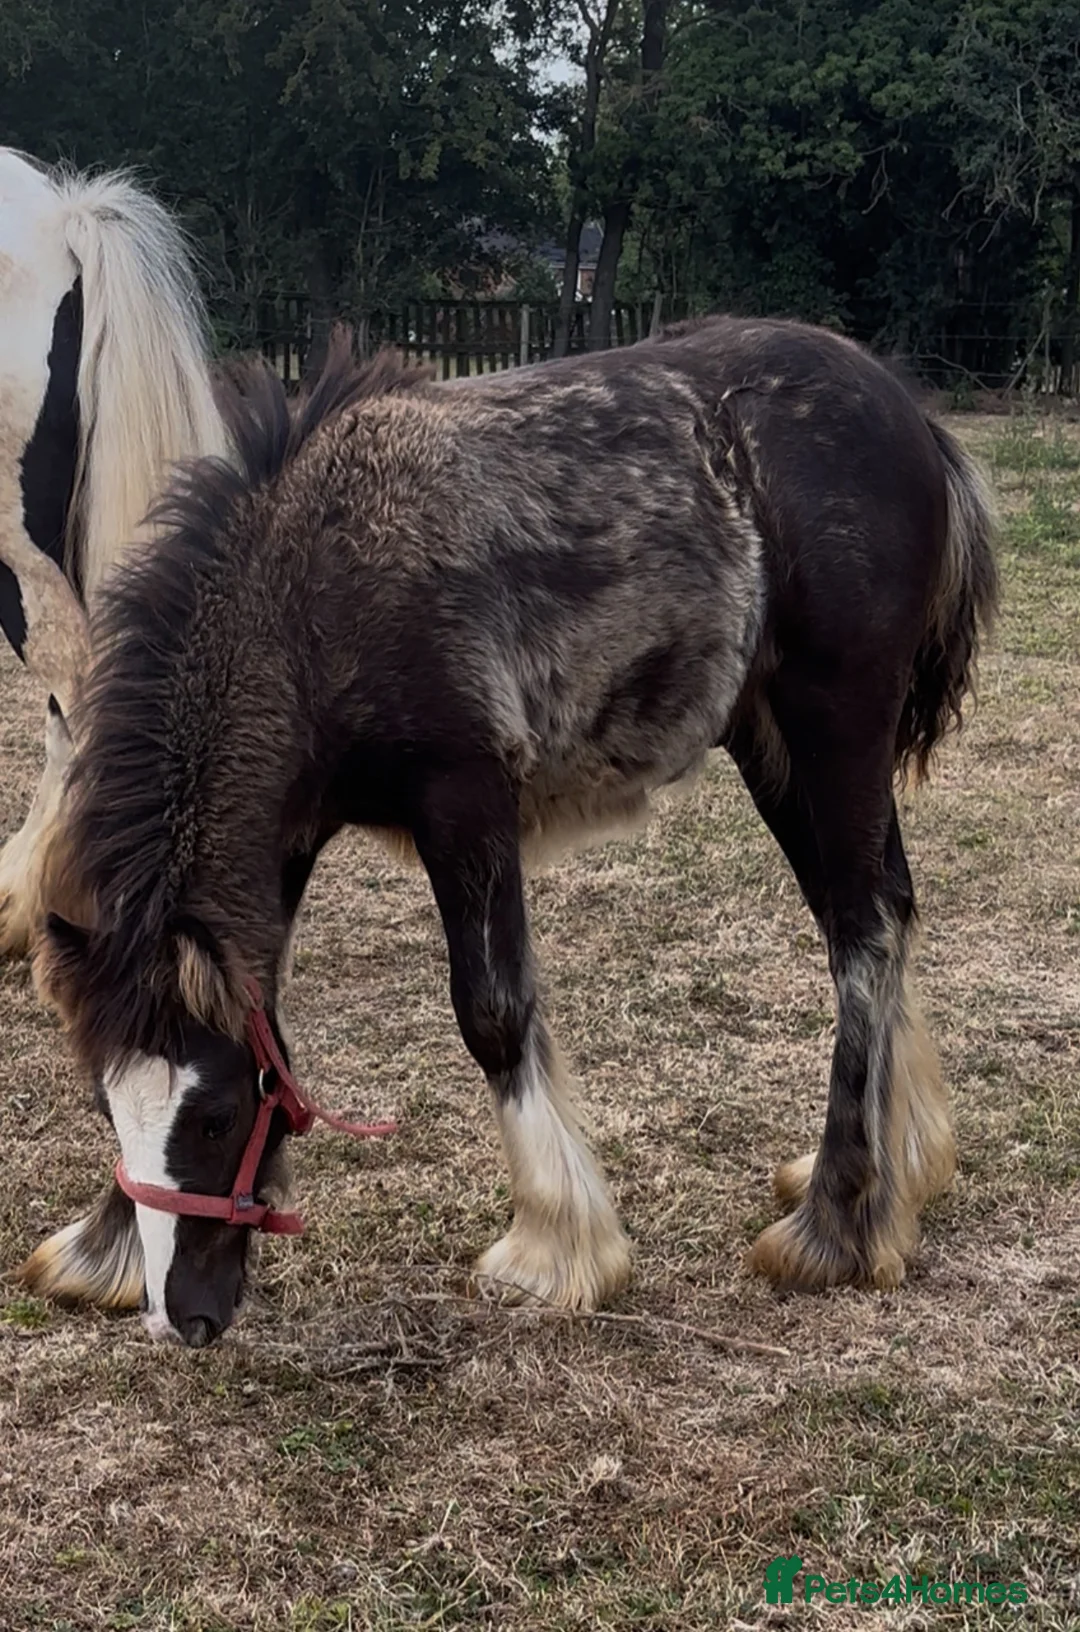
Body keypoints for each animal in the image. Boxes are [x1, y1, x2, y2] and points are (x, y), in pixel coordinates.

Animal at [25, 319, 998, 1347]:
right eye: (106, 1110)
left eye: (214, 1117)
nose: (184, 1320)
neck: (317, 592)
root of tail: (907, 415)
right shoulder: (285, 844)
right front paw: (106, 1245)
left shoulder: (464, 800)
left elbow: (492, 1013)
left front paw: (555, 1249)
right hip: (772, 740)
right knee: (882, 910)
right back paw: (901, 1165)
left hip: (835, 728)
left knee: (862, 931)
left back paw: (839, 1221)